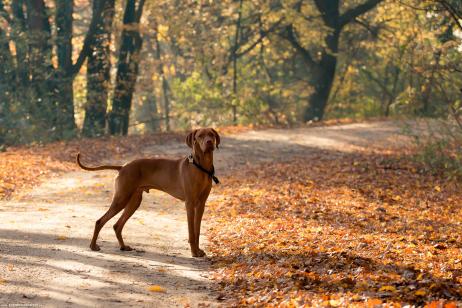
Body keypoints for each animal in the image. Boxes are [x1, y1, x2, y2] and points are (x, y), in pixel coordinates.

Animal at [76, 127, 220, 258]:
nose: (209, 142)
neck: (201, 167)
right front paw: (194, 252)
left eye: (211, 135)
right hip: (122, 198)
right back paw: (93, 246)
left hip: (134, 201)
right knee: (100, 221)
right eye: (200, 136)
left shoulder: (201, 204)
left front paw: (198, 251)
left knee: (117, 225)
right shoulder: (189, 203)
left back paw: (123, 247)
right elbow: (191, 231)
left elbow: (197, 230)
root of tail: (123, 166)